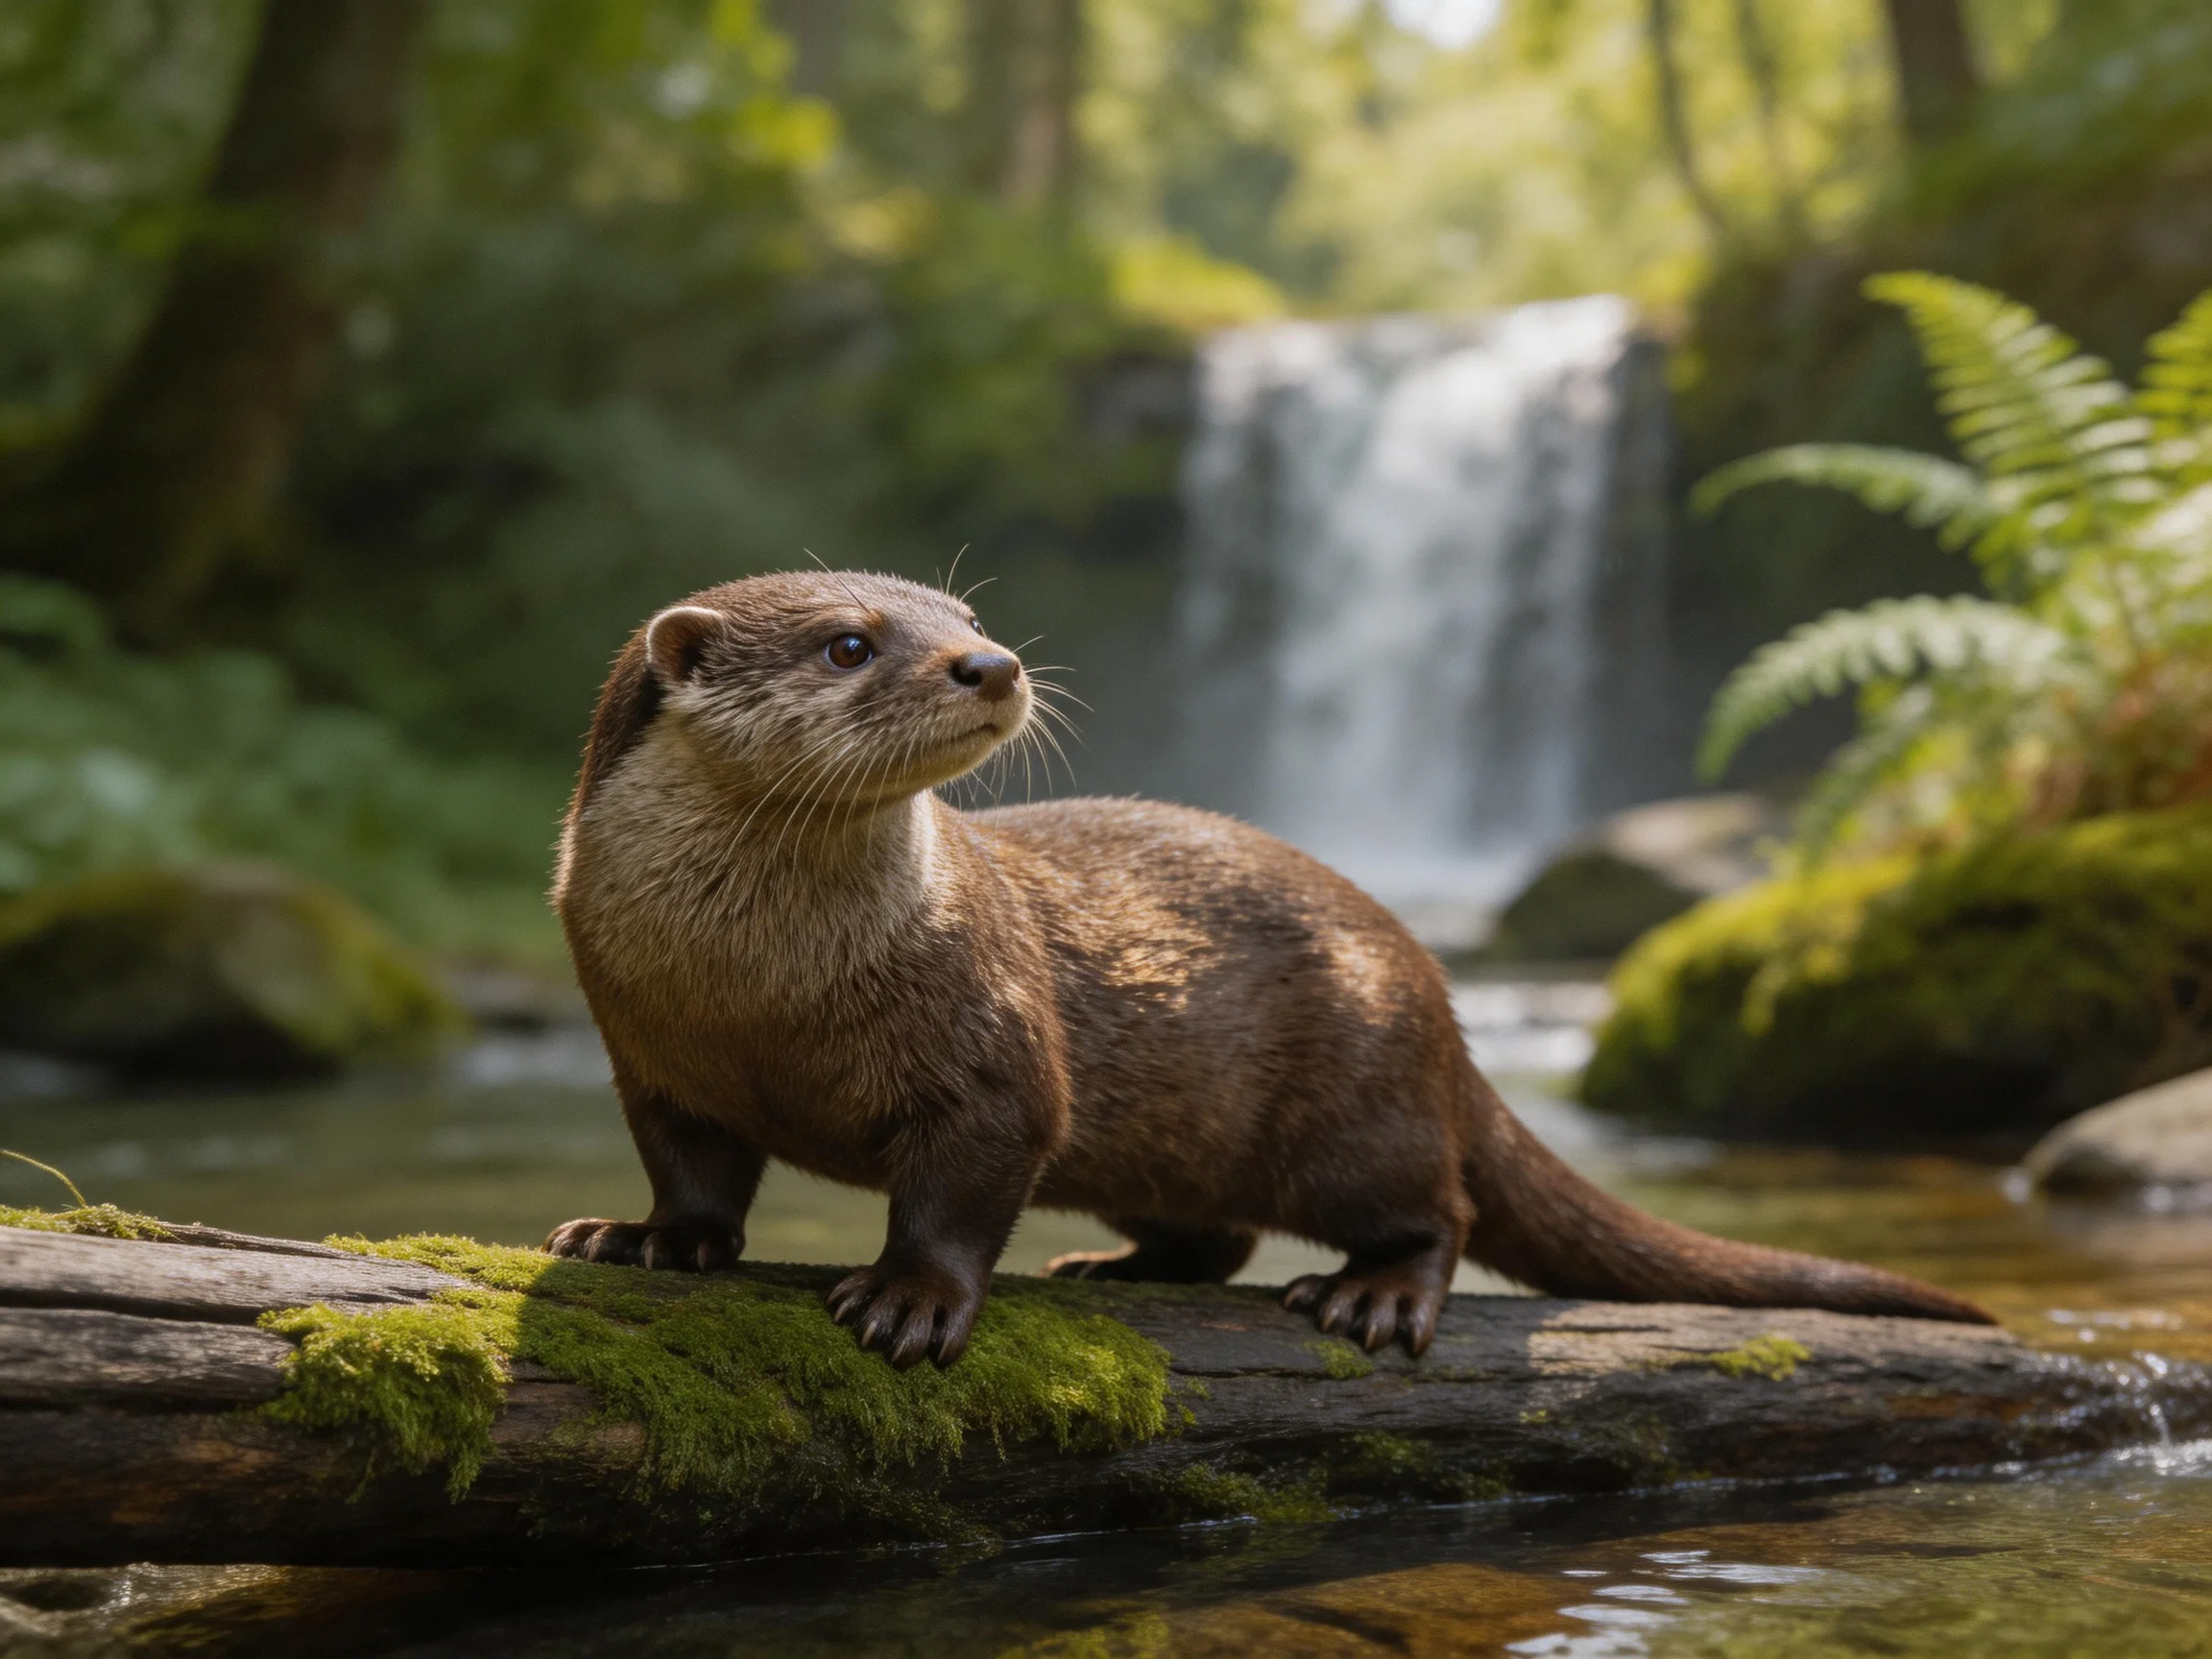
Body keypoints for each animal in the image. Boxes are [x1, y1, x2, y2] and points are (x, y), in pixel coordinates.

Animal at [546, 570, 1990, 1369]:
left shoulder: (993, 1051)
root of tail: (1444, 1003)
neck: (762, 994)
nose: (990, 663)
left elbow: (962, 1187)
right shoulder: (644, 1049)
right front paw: (643, 1237)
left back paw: (1372, 1297)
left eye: (965, 615)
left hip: (1362, 1099)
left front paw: (909, 1300)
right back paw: (1113, 1269)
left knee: (1440, 1208)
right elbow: (691, 1166)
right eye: (848, 640)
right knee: (1217, 1231)